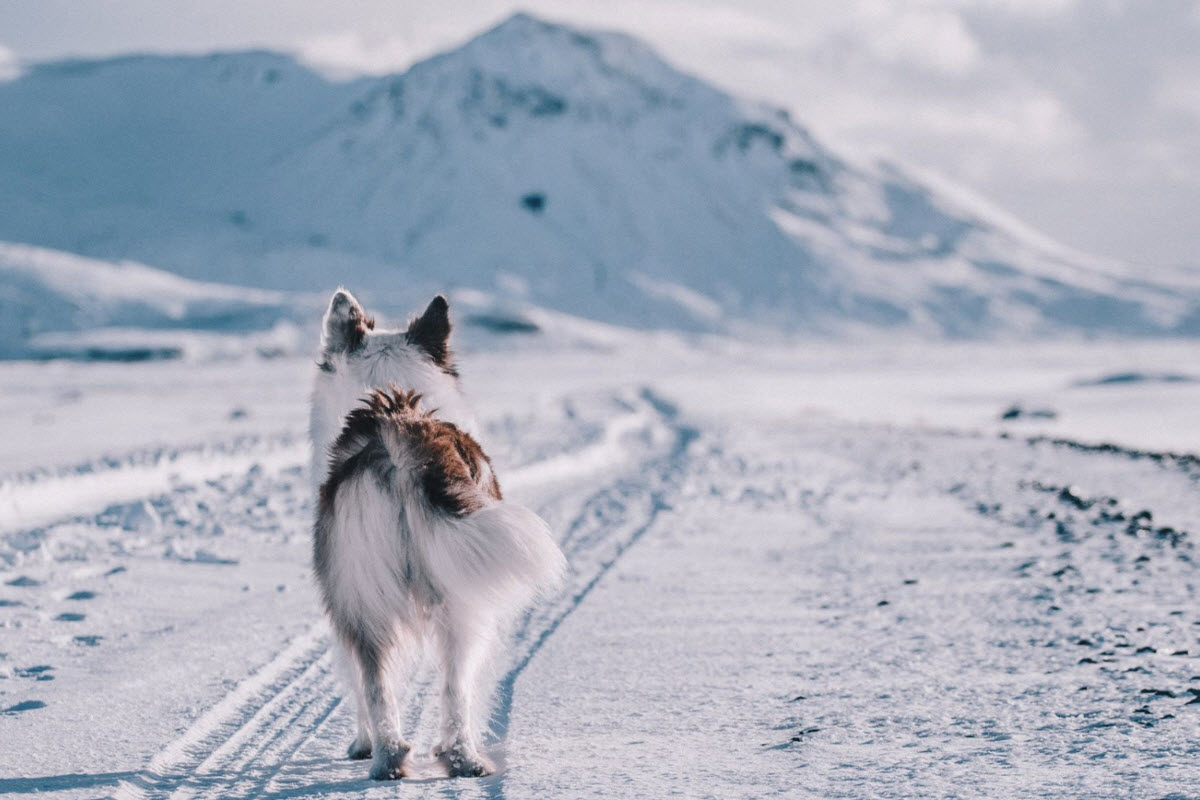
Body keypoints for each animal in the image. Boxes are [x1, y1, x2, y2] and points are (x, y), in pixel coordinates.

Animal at [309, 289, 561, 782]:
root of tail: (399, 438)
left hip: (366, 596)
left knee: (381, 683)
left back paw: (390, 757)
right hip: (457, 600)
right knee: (450, 688)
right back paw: (456, 759)